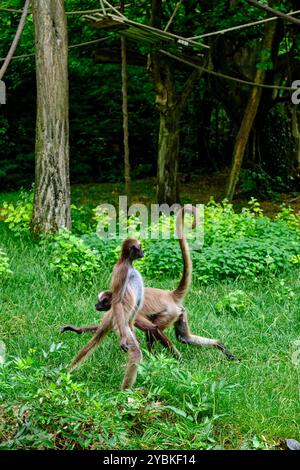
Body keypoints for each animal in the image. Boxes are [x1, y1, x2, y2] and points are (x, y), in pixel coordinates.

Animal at [69, 239, 146, 390]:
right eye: (140, 247)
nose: (143, 252)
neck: (128, 263)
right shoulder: (122, 270)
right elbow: (117, 300)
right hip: (120, 325)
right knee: (135, 353)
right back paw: (124, 392)